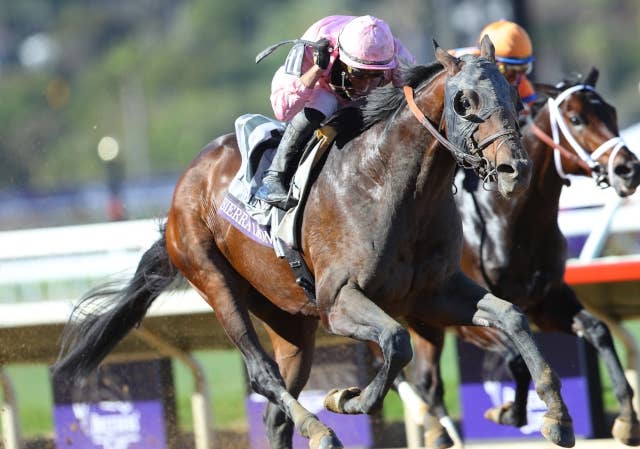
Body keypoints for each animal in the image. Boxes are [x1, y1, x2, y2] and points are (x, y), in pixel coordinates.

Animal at [53, 37, 575, 449]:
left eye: (511, 93)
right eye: (464, 101)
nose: (514, 169)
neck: (389, 186)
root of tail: (183, 188)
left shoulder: (435, 293)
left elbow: (512, 316)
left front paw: (557, 417)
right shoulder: (339, 301)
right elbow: (396, 341)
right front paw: (347, 398)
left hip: (288, 320)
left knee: (274, 410)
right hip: (213, 278)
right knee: (263, 375)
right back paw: (319, 428)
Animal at [400, 68, 640, 448]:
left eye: (612, 113)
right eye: (576, 119)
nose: (628, 169)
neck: (510, 217)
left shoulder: (545, 302)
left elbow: (599, 330)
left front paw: (628, 420)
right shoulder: (465, 314)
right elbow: (514, 358)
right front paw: (508, 412)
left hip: (426, 324)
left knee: (427, 382)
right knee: (424, 383)